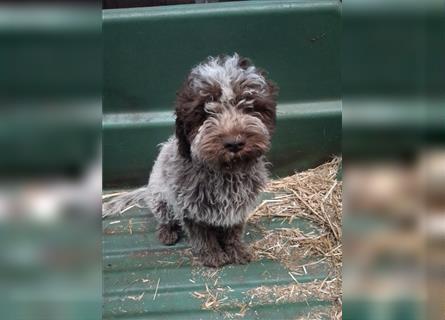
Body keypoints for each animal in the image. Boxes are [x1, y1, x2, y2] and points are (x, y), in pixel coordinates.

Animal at [105, 54, 276, 268]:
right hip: (160, 199)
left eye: (249, 106)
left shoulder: (238, 207)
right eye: (205, 112)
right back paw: (167, 232)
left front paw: (236, 250)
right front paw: (212, 254)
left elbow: (233, 231)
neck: (225, 172)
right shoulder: (189, 209)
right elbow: (202, 235)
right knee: (165, 218)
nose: (234, 143)